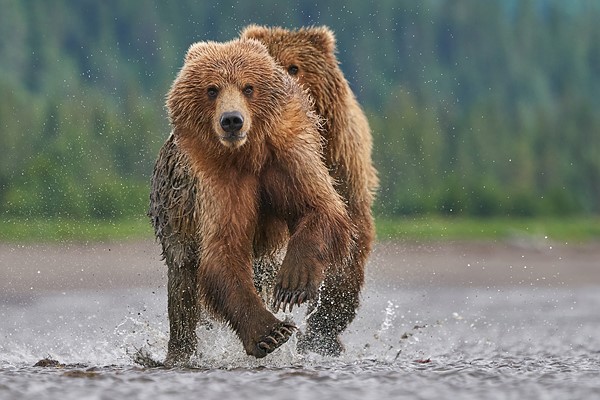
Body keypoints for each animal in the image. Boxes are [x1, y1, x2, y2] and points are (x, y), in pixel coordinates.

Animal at [149, 39, 354, 368]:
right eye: (212, 89)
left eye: (248, 87)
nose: (232, 120)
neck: (248, 155)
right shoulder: (219, 185)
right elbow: (224, 250)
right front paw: (271, 333)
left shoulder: (288, 160)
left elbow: (320, 208)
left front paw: (293, 284)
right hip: (174, 217)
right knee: (182, 289)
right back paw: (179, 352)